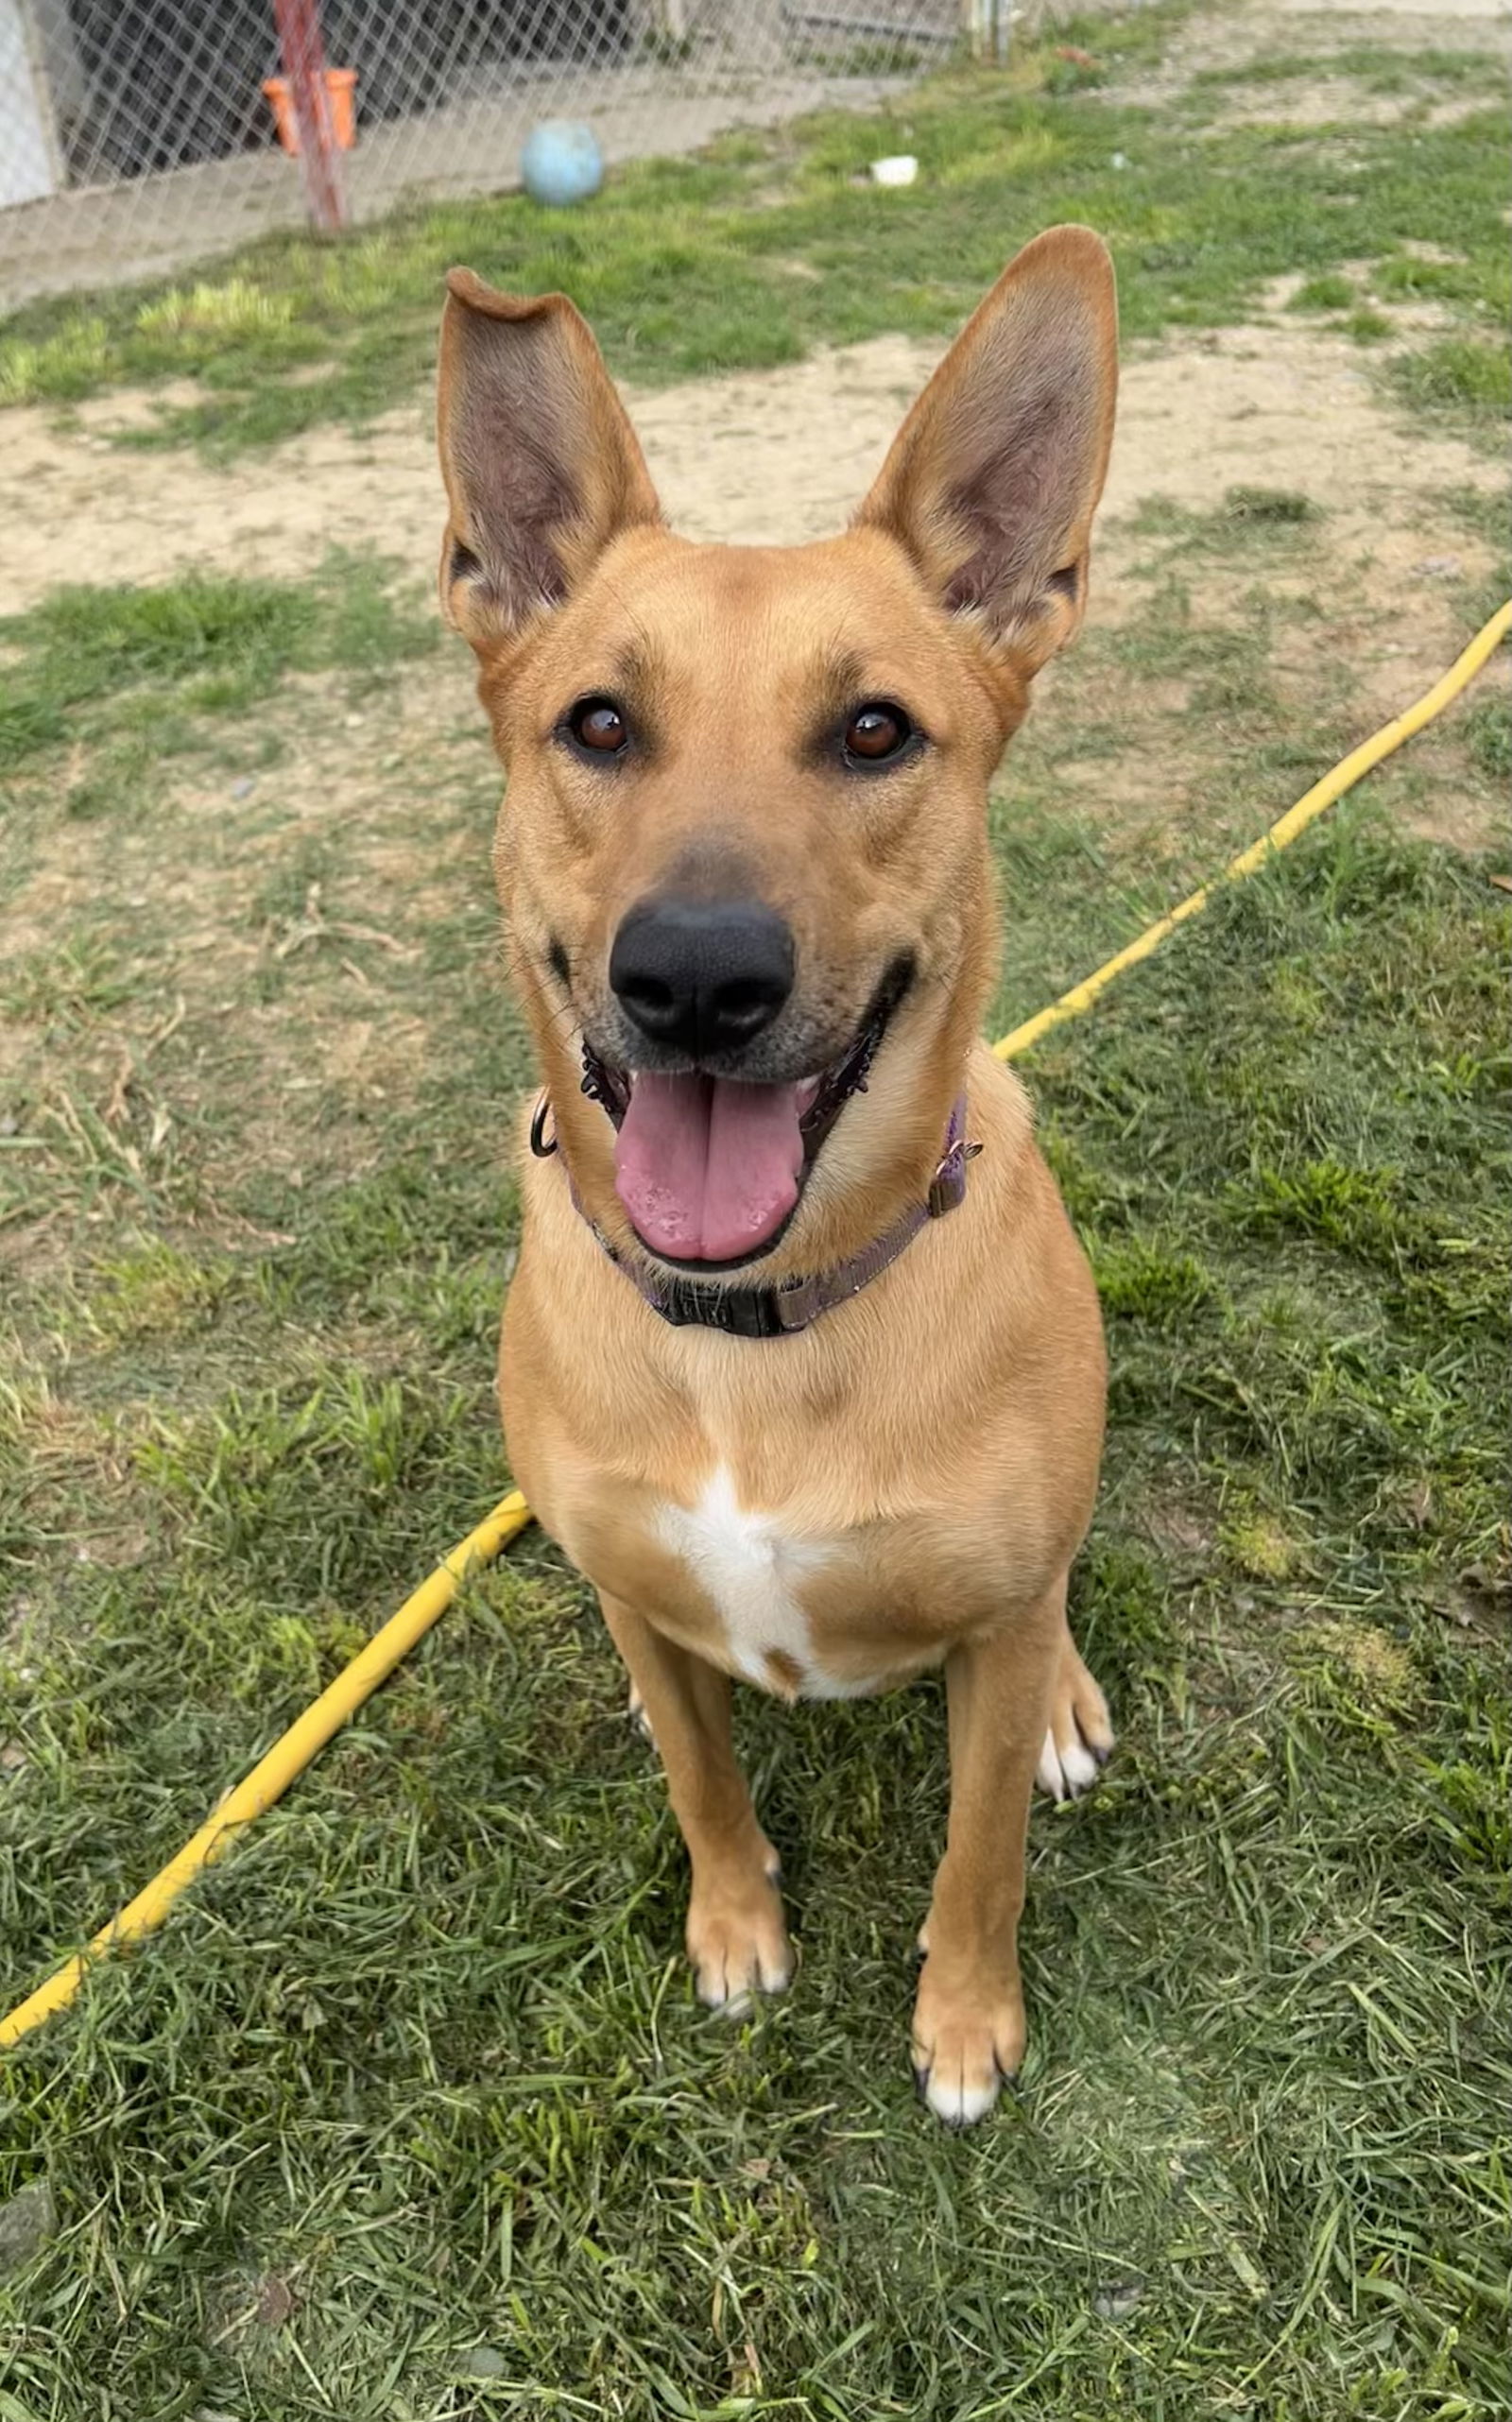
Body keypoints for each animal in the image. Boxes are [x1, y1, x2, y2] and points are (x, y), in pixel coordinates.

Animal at [440, 227, 1124, 2121]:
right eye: (599, 724)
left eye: (876, 733)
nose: (694, 977)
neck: (753, 1323)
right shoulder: (635, 1595)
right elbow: (704, 1785)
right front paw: (736, 1927)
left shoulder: (988, 1628)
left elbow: (979, 1854)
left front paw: (963, 2019)